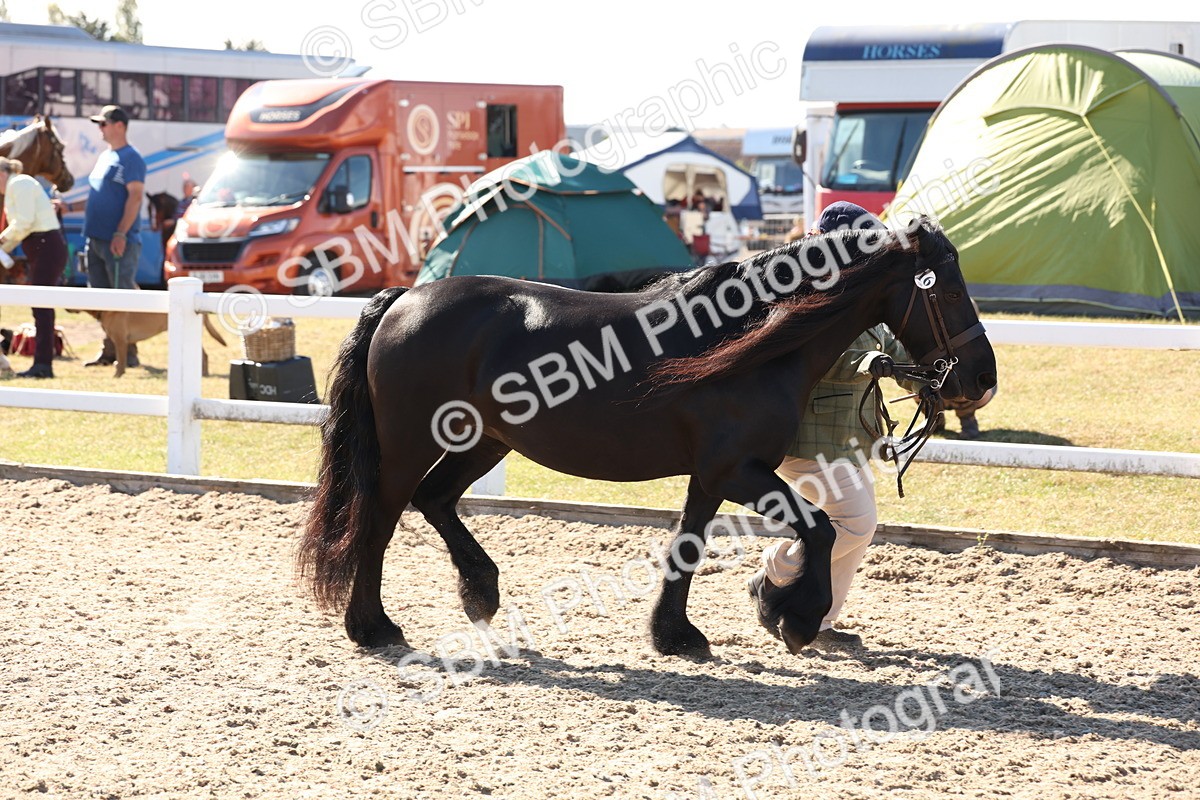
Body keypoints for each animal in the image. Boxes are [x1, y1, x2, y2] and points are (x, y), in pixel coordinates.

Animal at [298, 217, 997, 658]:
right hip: (409, 444)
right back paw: (373, 627)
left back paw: (481, 591)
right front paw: (793, 617)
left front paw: (682, 632)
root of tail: (402, 300)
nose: (981, 379)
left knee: (435, 501)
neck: (748, 340)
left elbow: (689, 546)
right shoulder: (735, 470)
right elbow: (817, 529)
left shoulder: (715, 476)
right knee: (380, 519)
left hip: (484, 442)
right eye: (947, 287)